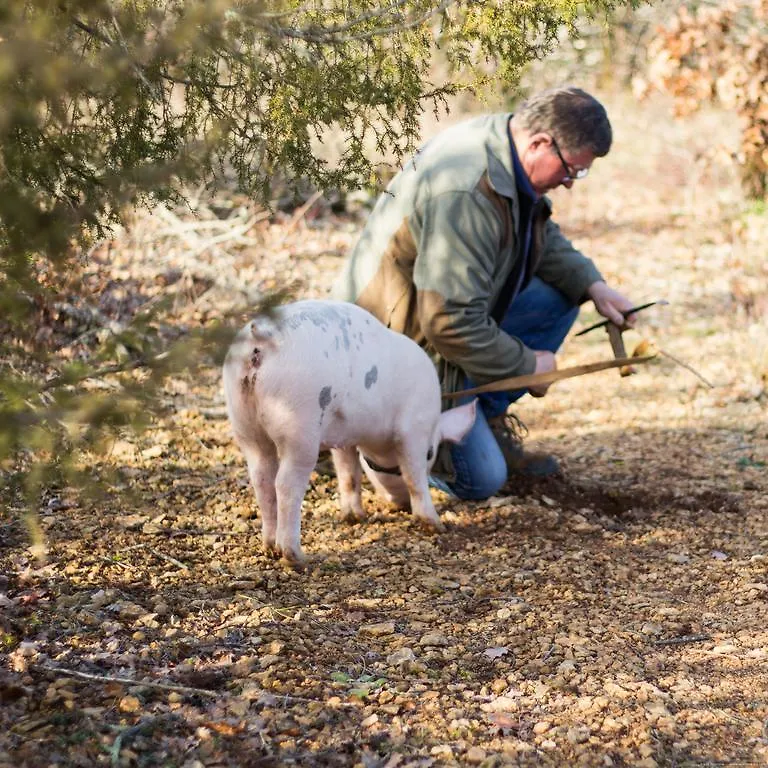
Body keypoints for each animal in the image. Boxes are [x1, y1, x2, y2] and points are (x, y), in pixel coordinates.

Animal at [219, 300, 476, 564]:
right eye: (430, 454)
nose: (400, 504)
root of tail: (261, 336)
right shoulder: (414, 428)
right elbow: (414, 476)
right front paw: (436, 525)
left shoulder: (345, 437)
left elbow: (348, 473)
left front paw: (354, 517)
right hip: (298, 423)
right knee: (286, 483)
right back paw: (296, 558)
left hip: (243, 422)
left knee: (262, 478)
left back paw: (270, 547)